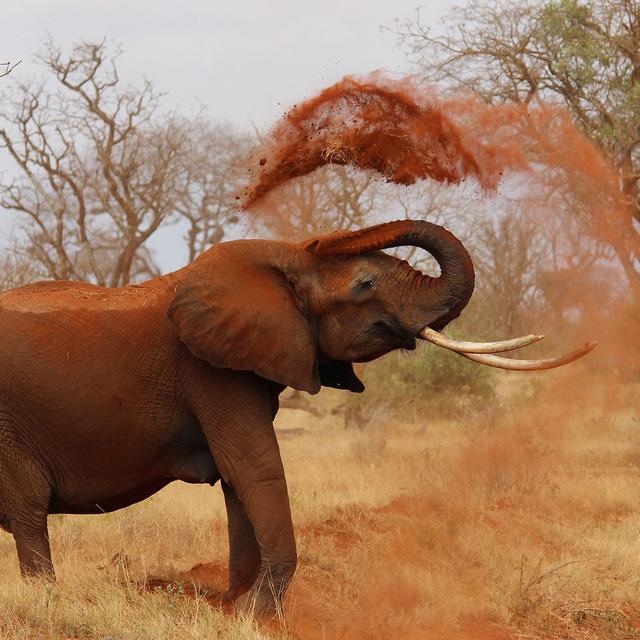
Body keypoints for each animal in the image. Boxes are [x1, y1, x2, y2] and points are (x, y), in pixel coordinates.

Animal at [0, 219, 593, 618]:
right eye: (364, 285)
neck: (281, 260)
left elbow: (238, 479)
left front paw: (233, 606)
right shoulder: (213, 371)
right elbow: (256, 467)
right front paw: (256, 615)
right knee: (28, 512)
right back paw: (47, 600)